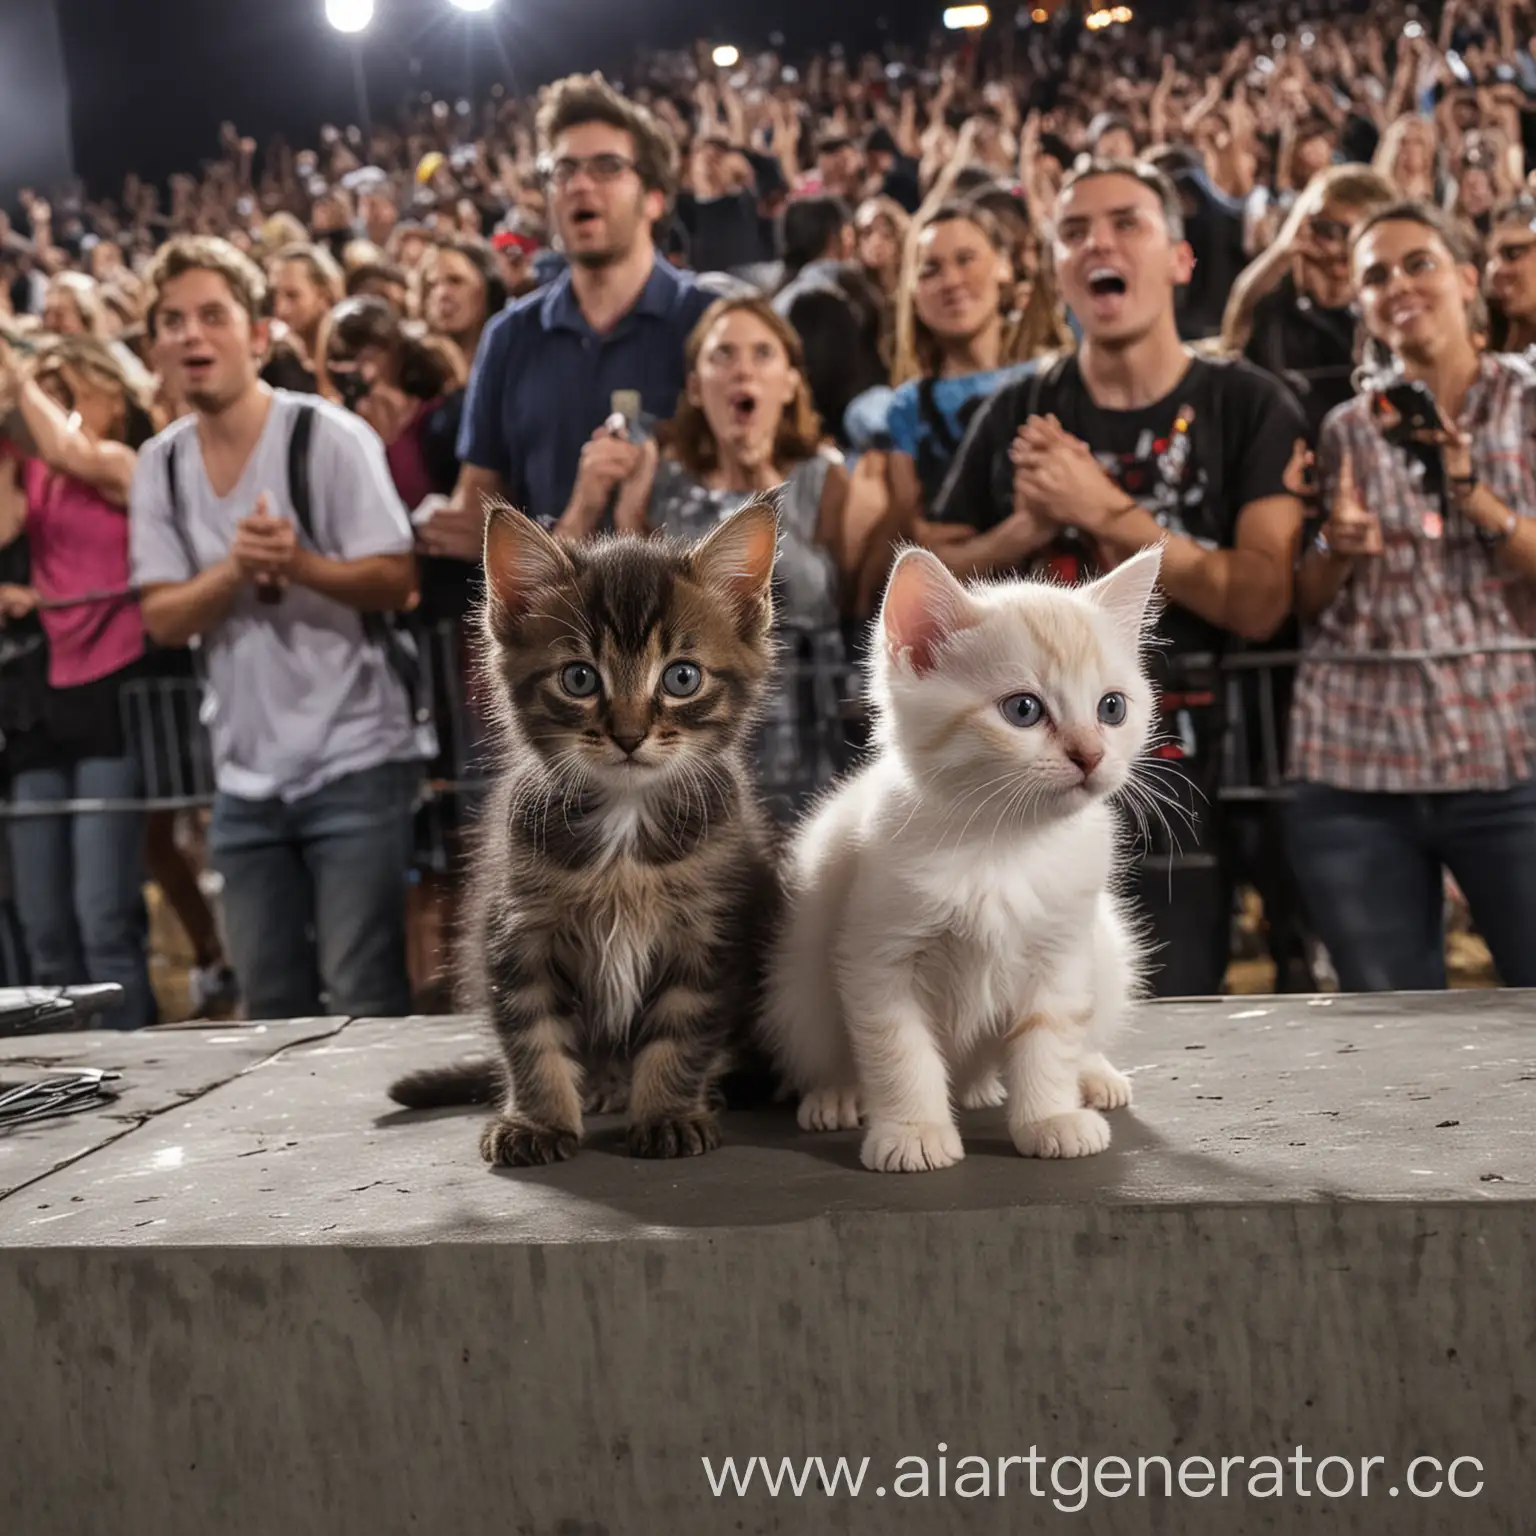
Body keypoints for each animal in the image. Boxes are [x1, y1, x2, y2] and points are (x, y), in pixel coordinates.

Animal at [390, 503, 786, 1161]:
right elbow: (531, 1034)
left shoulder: (708, 933)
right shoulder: (516, 930)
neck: (624, 826)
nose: (628, 735)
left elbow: (683, 1029)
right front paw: (538, 1120)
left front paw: (669, 1112)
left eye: (682, 678)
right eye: (579, 679)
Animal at [761, 546, 1155, 1167]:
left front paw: (1050, 1117)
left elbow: (1050, 1037)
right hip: (796, 978)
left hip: (1106, 950)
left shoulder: (1061, 951)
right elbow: (899, 1050)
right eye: (1024, 710)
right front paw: (913, 1132)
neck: (1001, 843)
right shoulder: (876, 955)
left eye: (1112, 708)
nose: (1091, 755)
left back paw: (1089, 1078)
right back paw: (836, 1095)